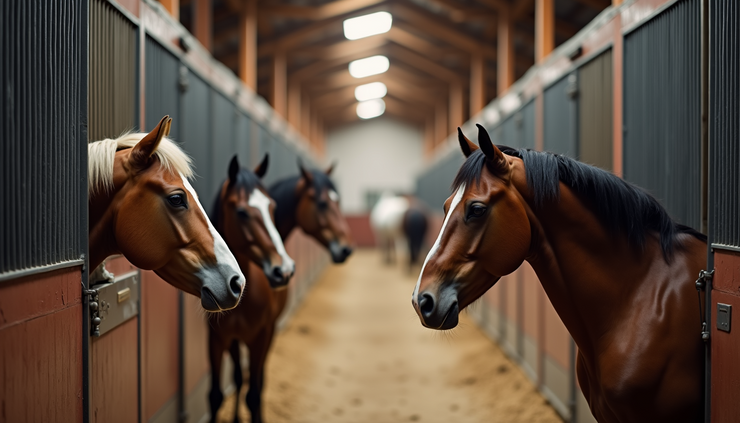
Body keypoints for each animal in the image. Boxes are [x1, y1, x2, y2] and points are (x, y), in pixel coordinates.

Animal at [208, 161, 353, 423]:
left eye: (272, 207)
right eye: (322, 203)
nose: (283, 269)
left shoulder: (262, 335)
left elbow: (254, 394)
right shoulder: (216, 338)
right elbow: (216, 396)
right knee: (238, 377)